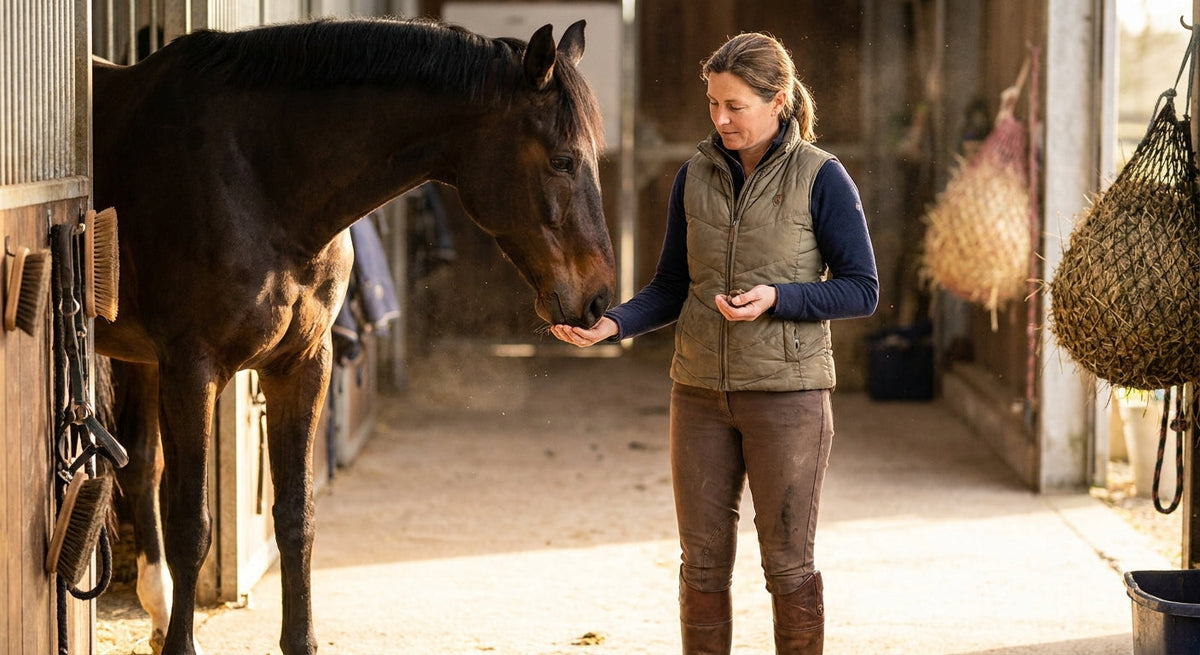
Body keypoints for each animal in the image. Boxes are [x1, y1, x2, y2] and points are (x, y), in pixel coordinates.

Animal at [90, 17, 616, 655]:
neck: (257, 177)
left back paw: (160, 610)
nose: (599, 299)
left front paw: (300, 640)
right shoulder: (193, 369)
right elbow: (193, 525)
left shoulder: (301, 365)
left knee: (140, 463)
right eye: (563, 160)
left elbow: (297, 516)